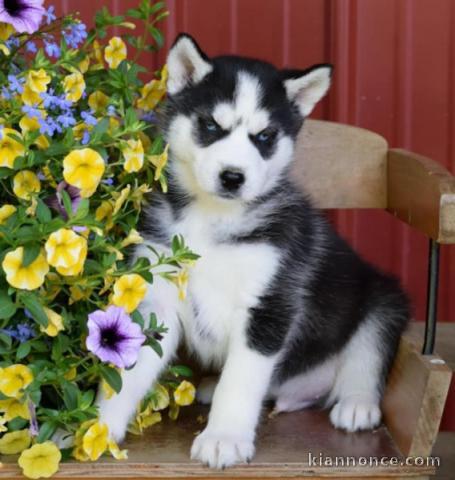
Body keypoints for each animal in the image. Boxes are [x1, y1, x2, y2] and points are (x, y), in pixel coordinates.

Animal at [98, 33, 412, 468]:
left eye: (264, 136)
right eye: (211, 125)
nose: (233, 177)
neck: (211, 221)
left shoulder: (269, 306)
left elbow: (241, 381)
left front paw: (224, 437)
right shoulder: (156, 295)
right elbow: (126, 374)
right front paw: (95, 430)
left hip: (381, 297)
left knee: (367, 351)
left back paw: (357, 403)